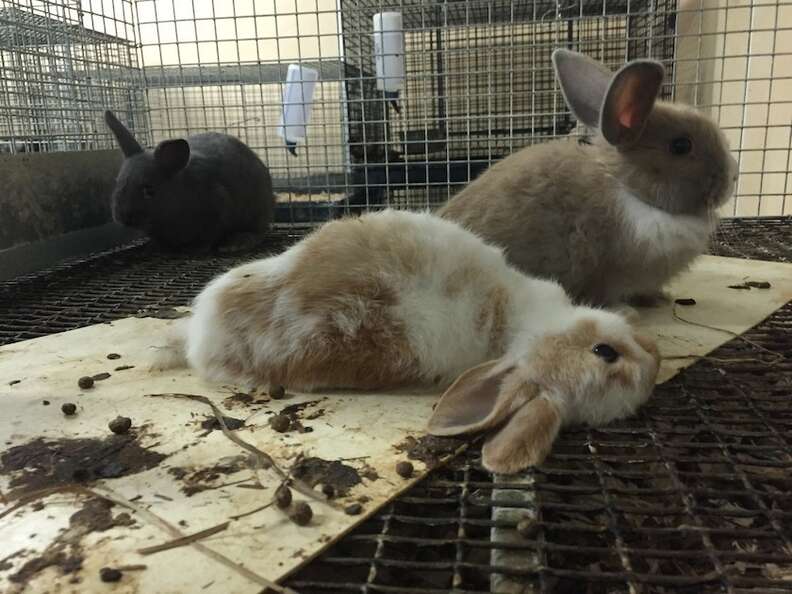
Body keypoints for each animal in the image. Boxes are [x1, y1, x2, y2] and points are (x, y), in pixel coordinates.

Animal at [103, 109, 276, 250]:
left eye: (149, 190)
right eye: (118, 182)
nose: (123, 217)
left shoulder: (217, 210)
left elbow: (209, 237)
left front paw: (196, 249)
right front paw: (154, 247)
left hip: (257, 212)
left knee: (258, 232)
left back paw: (239, 242)